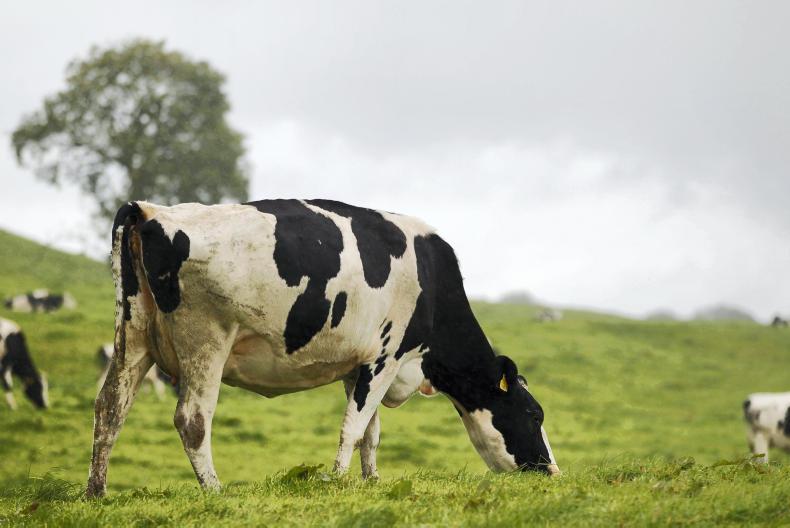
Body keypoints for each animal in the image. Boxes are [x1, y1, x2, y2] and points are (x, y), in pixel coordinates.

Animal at [86, 199, 558, 497]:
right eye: (535, 414)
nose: (552, 471)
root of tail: (151, 211)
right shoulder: (386, 356)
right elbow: (353, 428)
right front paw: (337, 481)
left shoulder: (359, 366)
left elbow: (370, 432)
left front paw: (372, 481)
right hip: (206, 342)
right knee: (192, 420)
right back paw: (215, 491)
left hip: (133, 338)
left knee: (110, 407)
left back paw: (97, 492)